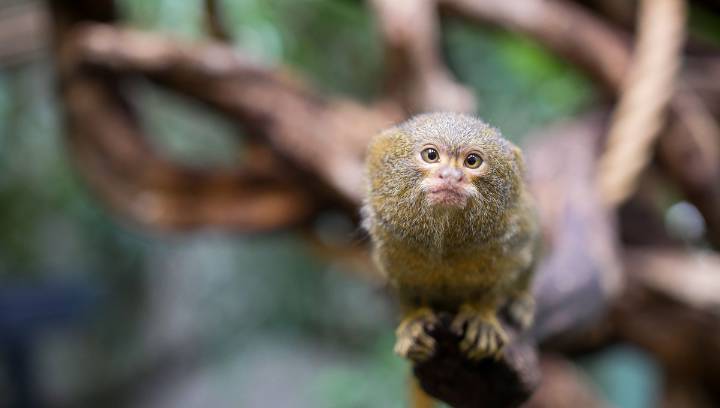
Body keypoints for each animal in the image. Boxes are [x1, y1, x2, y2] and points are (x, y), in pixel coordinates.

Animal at [362, 112, 540, 362]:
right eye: (431, 155)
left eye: (472, 161)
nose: (451, 176)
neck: (445, 245)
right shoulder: (390, 243)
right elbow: (405, 288)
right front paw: (414, 319)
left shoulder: (515, 234)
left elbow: (500, 281)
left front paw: (481, 316)